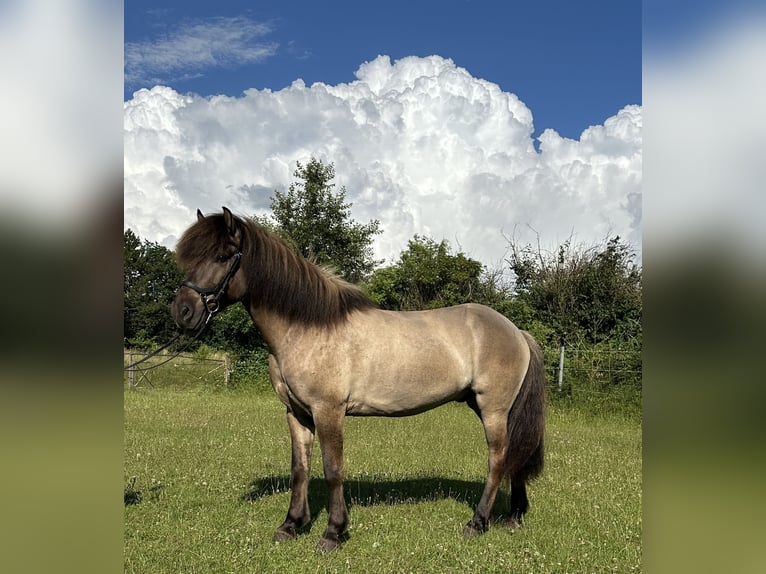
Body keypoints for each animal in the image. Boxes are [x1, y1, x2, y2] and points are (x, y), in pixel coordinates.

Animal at [172, 207, 546, 552]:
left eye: (223, 256)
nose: (183, 312)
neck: (307, 327)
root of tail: (516, 331)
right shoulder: (297, 414)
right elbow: (300, 469)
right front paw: (291, 525)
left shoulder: (328, 411)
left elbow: (333, 469)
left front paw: (333, 533)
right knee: (516, 454)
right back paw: (514, 515)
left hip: (493, 409)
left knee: (498, 459)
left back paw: (477, 522)